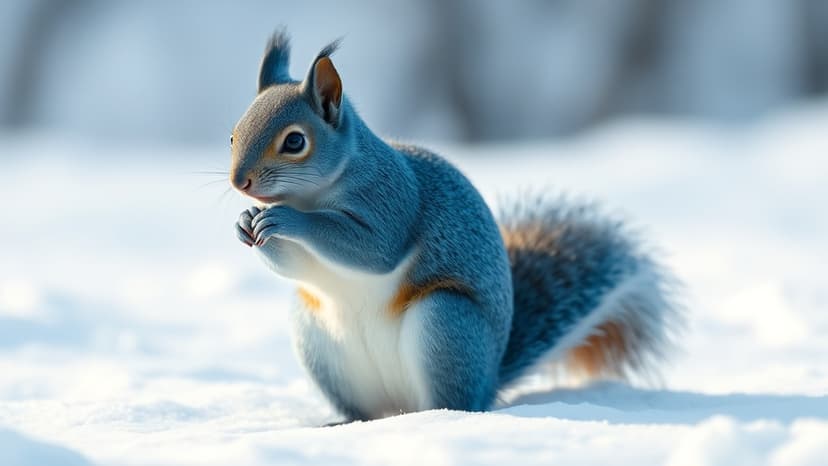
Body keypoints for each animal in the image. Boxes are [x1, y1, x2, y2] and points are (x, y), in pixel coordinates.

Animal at [229, 31, 681, 421]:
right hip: (318, 340)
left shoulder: (391, 198)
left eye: (295, 141)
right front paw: (246, 223)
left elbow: (373, 249)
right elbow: (298, 264)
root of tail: (491, 378)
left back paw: (438, 417)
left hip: (445, 323)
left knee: (452, 398)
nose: (239, 183)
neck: (313, 194)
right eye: (234, 134)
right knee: (366, 411)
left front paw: (286, 219)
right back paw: (343, 423)